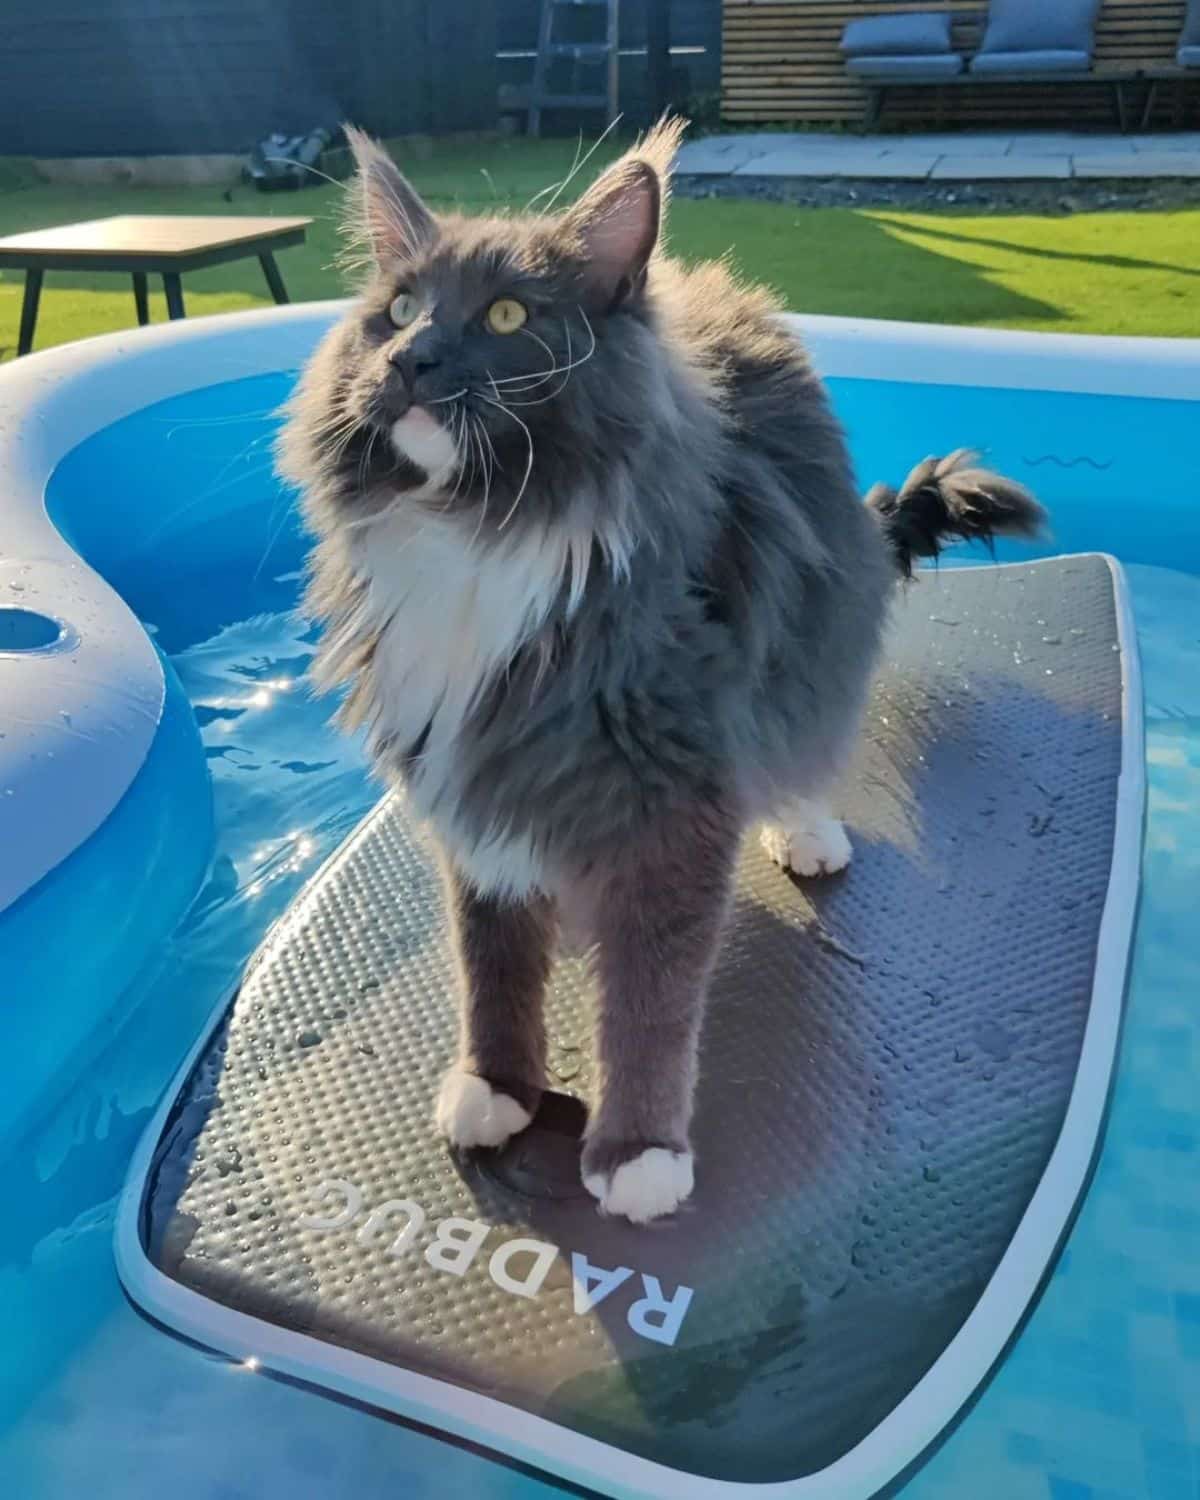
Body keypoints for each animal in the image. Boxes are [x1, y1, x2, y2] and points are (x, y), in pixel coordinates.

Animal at [274, 117, 1038, 1218]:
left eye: (508, 313)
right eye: (402, 310)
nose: (414, 357)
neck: (486, 536)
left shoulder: (669, 803)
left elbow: (649, 1002)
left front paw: (638, 1156)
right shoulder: (472, 778)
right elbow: (490, 959)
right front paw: (497, 1087)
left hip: (806, 646)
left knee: (803, 740)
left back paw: (808, 832)